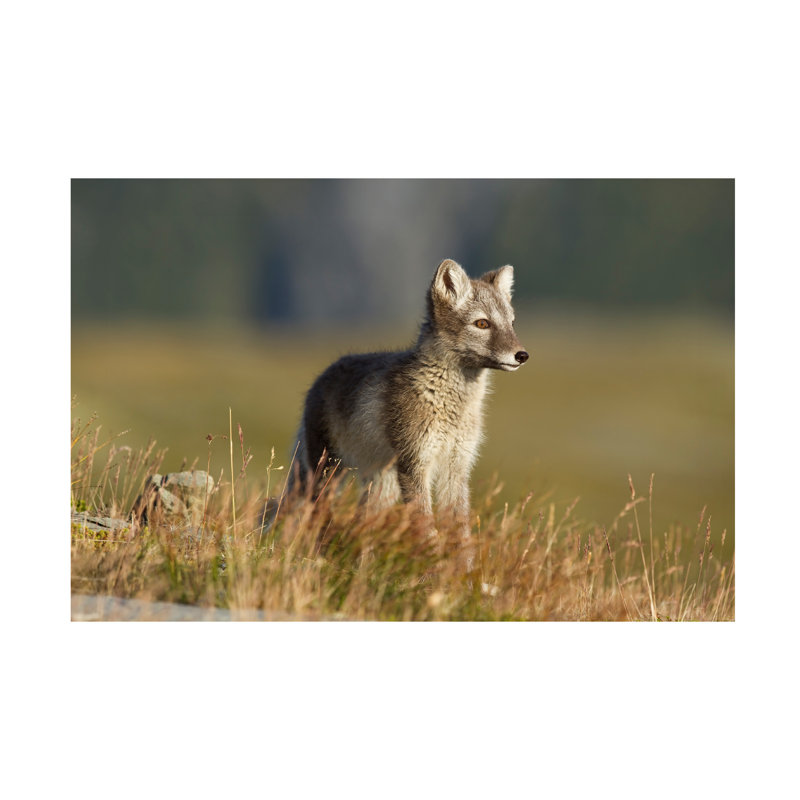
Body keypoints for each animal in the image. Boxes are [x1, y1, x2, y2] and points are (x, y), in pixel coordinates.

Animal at [287, 258, 529, 567]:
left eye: (511, 323)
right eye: (482, 324)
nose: (522, 355)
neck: (448, 404)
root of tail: (320, 378)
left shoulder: (457, 467)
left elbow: (460, 535)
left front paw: (463, 576)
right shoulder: (415, 463)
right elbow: (427, 530)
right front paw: (434, 571)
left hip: (381, 484)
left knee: (361, 523)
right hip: (328, 474)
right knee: (316, 517)